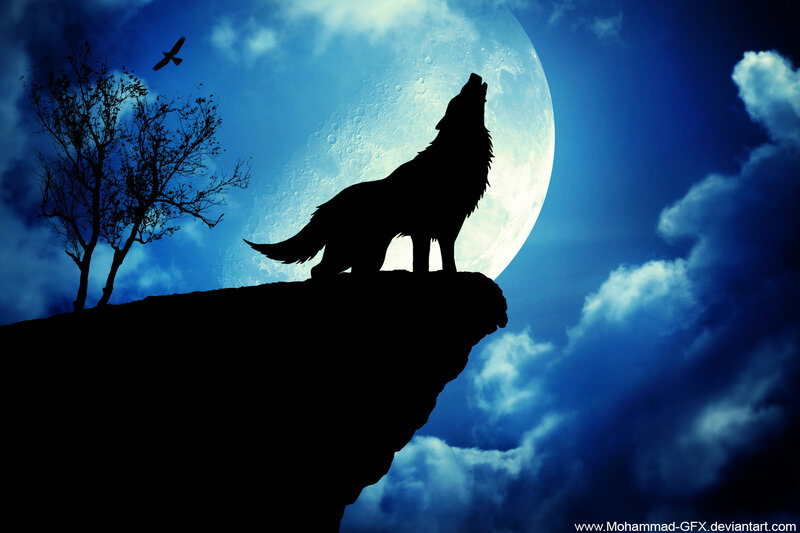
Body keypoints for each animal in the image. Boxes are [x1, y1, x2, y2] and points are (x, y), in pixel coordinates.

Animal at [245, 73, 493, 278]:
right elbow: (421, 264)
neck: (453, 156)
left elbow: (447, 261)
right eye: (460, 94)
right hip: (352, 251)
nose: (473, 74)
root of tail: (326, 206)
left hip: (369, 254)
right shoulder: (422, 230)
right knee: (318, 271)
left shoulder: (449, 228)